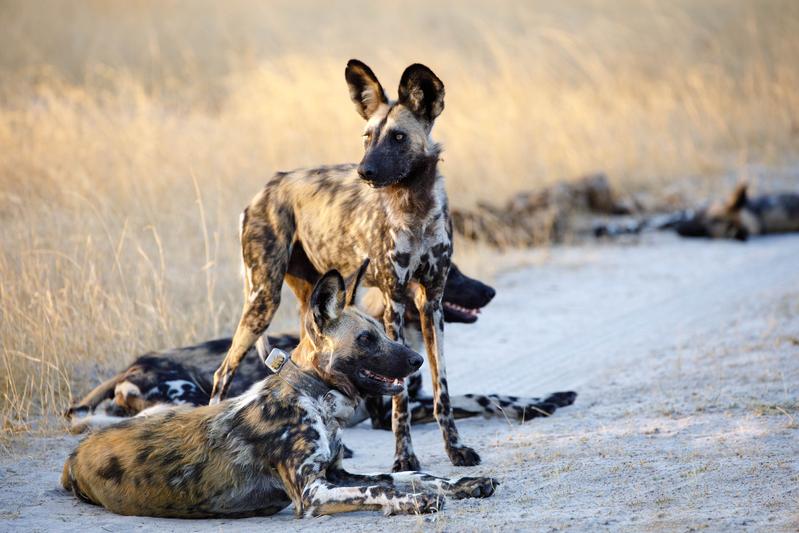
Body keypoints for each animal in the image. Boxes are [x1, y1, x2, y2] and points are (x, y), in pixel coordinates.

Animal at [64, 268, 500, 516]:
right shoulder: (312, 492)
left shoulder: (335, 474)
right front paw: (416, 503)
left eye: (383, 331)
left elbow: (412, 474)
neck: (316, 399)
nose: (417, 360)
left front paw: (464, 485)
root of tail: (73, 456)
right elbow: (382, 486)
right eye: (366, 339)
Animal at [209, 59, 478, 470]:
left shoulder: (431, 301)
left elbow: (441, 389)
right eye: (367, 137)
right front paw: (404, 458)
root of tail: (267, 187)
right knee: (222, 372)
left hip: (313, 298)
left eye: (398, 137)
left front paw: (455, 449)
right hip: (262, 301)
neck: (413, 207)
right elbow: (400, 399)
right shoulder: (395, 301)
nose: (364, 171)